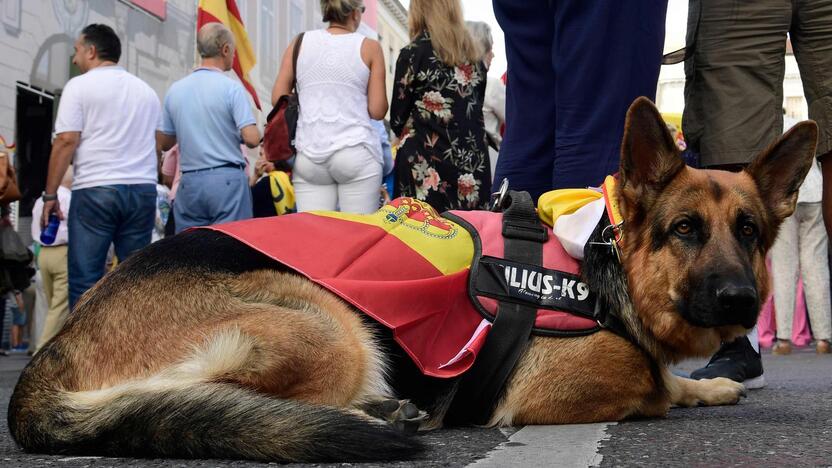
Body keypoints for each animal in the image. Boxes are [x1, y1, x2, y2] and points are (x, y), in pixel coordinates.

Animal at [8, 98, 820, 460]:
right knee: (190, 403)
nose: (742, 301)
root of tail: (50, 357)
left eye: (749, 232)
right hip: (328, 323)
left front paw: (715, 386)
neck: (602, 252)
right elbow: (651, 381)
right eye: (685, 230)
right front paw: (689, 386)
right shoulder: (575, 379)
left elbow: (674, 376)